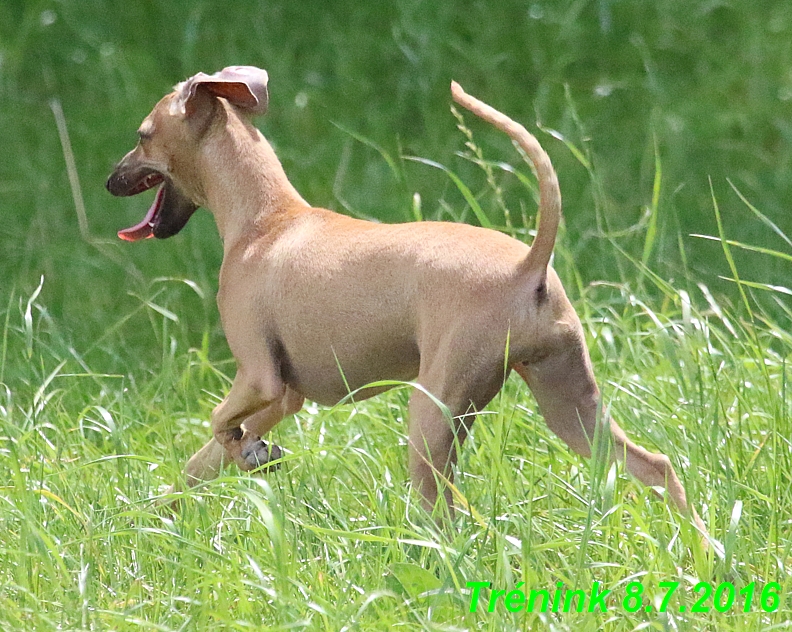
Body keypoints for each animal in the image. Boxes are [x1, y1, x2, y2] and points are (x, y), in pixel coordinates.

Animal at [105, 66, 704, 536]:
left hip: (433, 413)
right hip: (571, 406)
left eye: (142, 135)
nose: (110, 179)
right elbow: (201, 460)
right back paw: (704, 555)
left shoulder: (259, 378)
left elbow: (216, 423)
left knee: (445, 516)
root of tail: (527, 267)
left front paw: (244, 455)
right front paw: (161, 514)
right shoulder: (284, 396)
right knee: (656, 466)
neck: (267, 221)